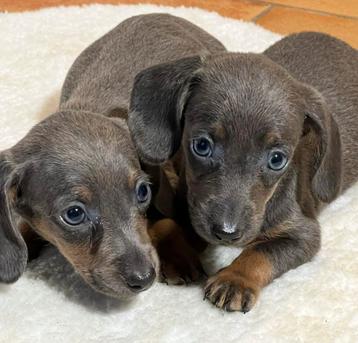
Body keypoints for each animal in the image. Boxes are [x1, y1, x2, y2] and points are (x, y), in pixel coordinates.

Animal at [129, 32, 358, 312]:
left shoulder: (304, 234)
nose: (226, 233)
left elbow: (261, 252)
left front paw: (234, 279)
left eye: (277, 159)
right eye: (201, 145)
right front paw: (177, 253)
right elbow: (167, 223)